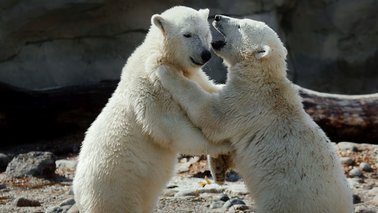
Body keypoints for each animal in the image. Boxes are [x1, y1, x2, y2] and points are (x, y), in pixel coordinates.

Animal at [72, 6, 229, 213]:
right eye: (187, 34)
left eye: (205, 33)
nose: (205, 54)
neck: (158, 54)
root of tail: (80, 196)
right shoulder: (150, 86)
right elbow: (171, 127)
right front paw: (223, 147)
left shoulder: (193, 76)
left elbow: (211, 90)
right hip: (115, 190)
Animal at [157, 15, 354, 213]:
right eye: (241, 20)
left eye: (239, 25)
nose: (218, 17)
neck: (261, 78)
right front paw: (218, 170)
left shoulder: (245, 103)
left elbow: (211, 117)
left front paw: (165, 70)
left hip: (286, 200)